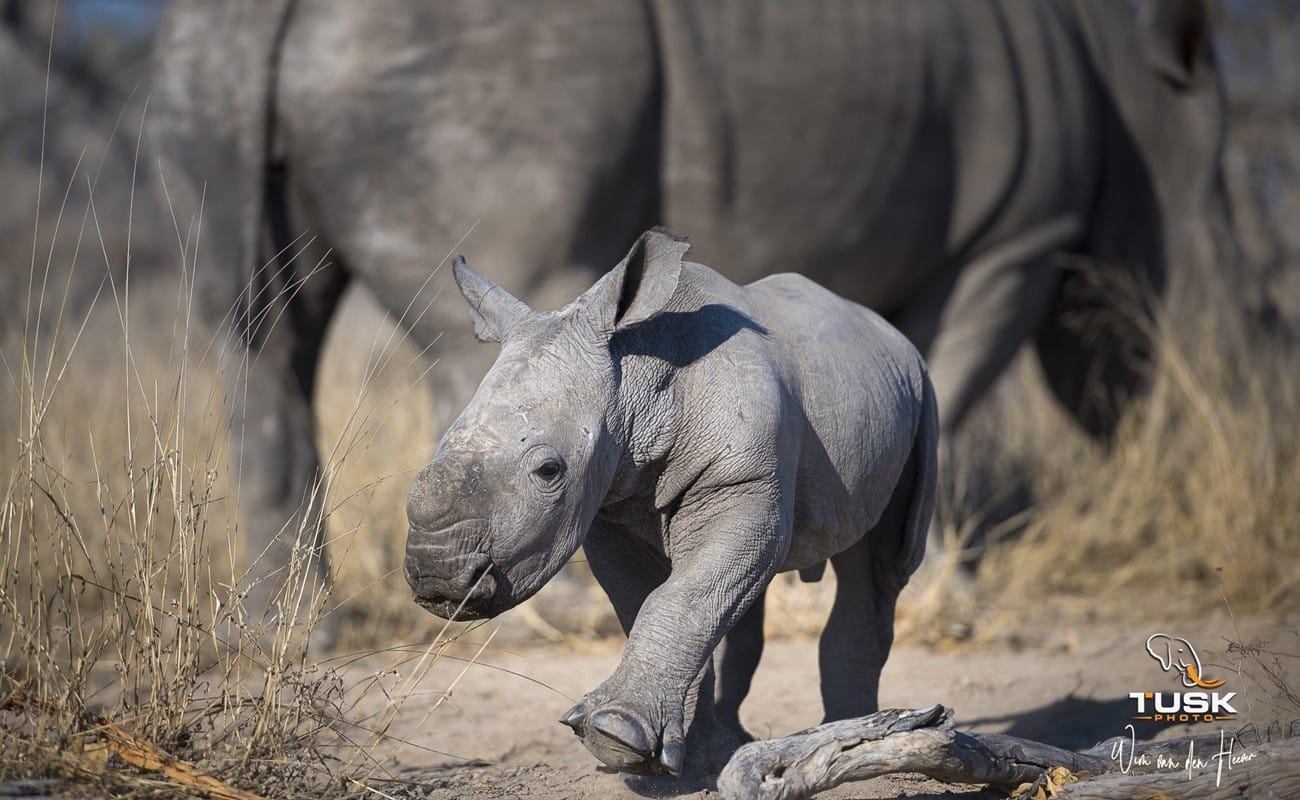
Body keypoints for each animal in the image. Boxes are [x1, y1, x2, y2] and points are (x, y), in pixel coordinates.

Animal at [148, 0, 1232, 619]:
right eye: (1252, 305)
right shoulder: (1021, 231)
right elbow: (951, 381)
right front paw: (943, 587)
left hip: (219, 64)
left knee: (257, 328)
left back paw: (292, 632)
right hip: (484, 71)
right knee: (511, 287)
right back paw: (570, 614)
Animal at [404, 230, 939, 776]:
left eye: (548, 471)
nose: (437, 578)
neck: (639, 380)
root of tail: (885, 330)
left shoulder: (739, 478)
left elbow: (678, 597)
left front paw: (612, 733)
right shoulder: (608, 506)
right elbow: (650, 599)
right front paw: (684, 759)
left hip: (919, 394)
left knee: (881, 563)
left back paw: (852, 734)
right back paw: (744, 742)